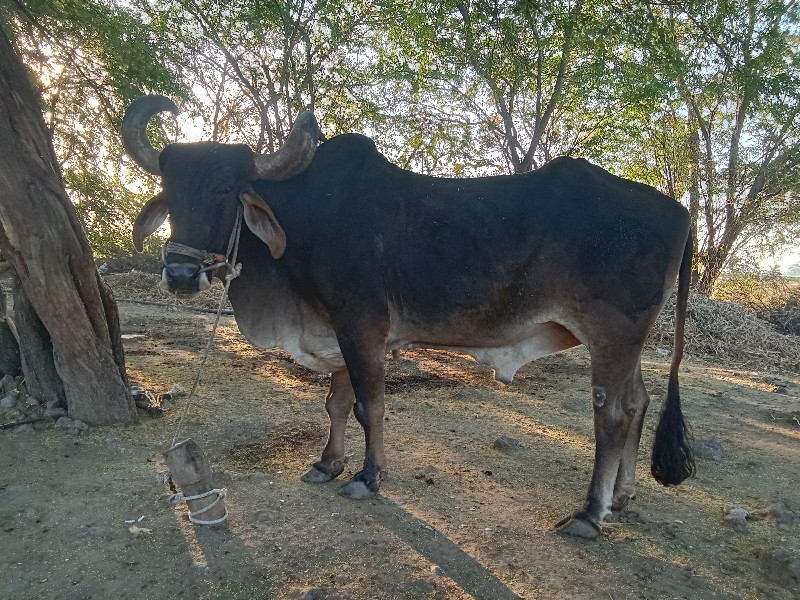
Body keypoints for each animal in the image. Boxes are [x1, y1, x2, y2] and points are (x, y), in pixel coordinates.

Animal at [123, 95, 692, 540]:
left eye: (223, 189)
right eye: (171, 191)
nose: (180, 275)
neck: (302, 221)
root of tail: (680, 211)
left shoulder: (361, 327)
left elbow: (369, 406)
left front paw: (368, 477)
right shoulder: (334, 332)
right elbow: (335, 403)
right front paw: (327, 463)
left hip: (612, 334)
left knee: (612, 415)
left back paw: (591, 512)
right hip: (627, 344)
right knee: (639, 403)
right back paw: (622, 497)